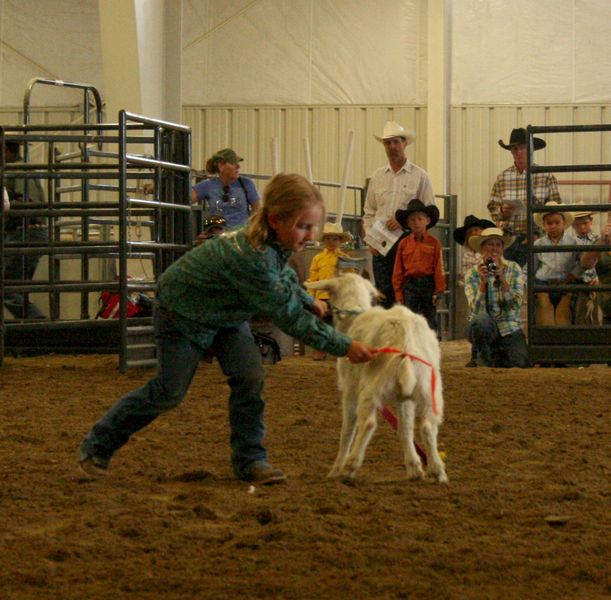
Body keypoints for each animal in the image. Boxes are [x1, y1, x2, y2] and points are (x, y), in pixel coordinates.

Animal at [308, 274, 448, 486]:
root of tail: (406, 342)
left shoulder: (350, 389)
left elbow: (347, 430)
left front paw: (335, 470)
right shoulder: (404, 399)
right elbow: (405, 429)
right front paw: (414, 468)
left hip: (372, 388)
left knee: (368, 424)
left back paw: (349, 468)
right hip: (429, 390)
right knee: (428, 427)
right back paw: (438, 471)